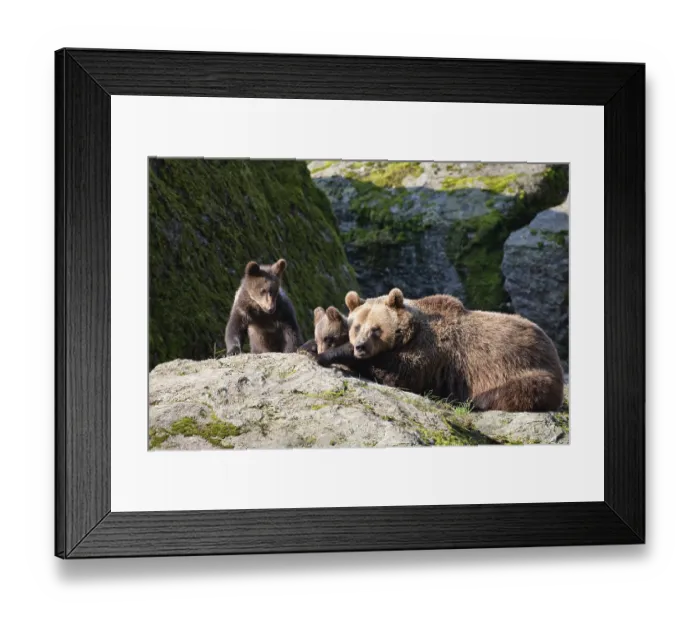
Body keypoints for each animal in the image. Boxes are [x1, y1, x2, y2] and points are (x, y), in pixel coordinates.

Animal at [316, 288, 564, 412]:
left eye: (376, 329)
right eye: (357, 326)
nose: (360, 346)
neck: (410, 334)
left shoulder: (433, 355)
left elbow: (399, 374)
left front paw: (330, 354)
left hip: (523, 367)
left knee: (509, 392)